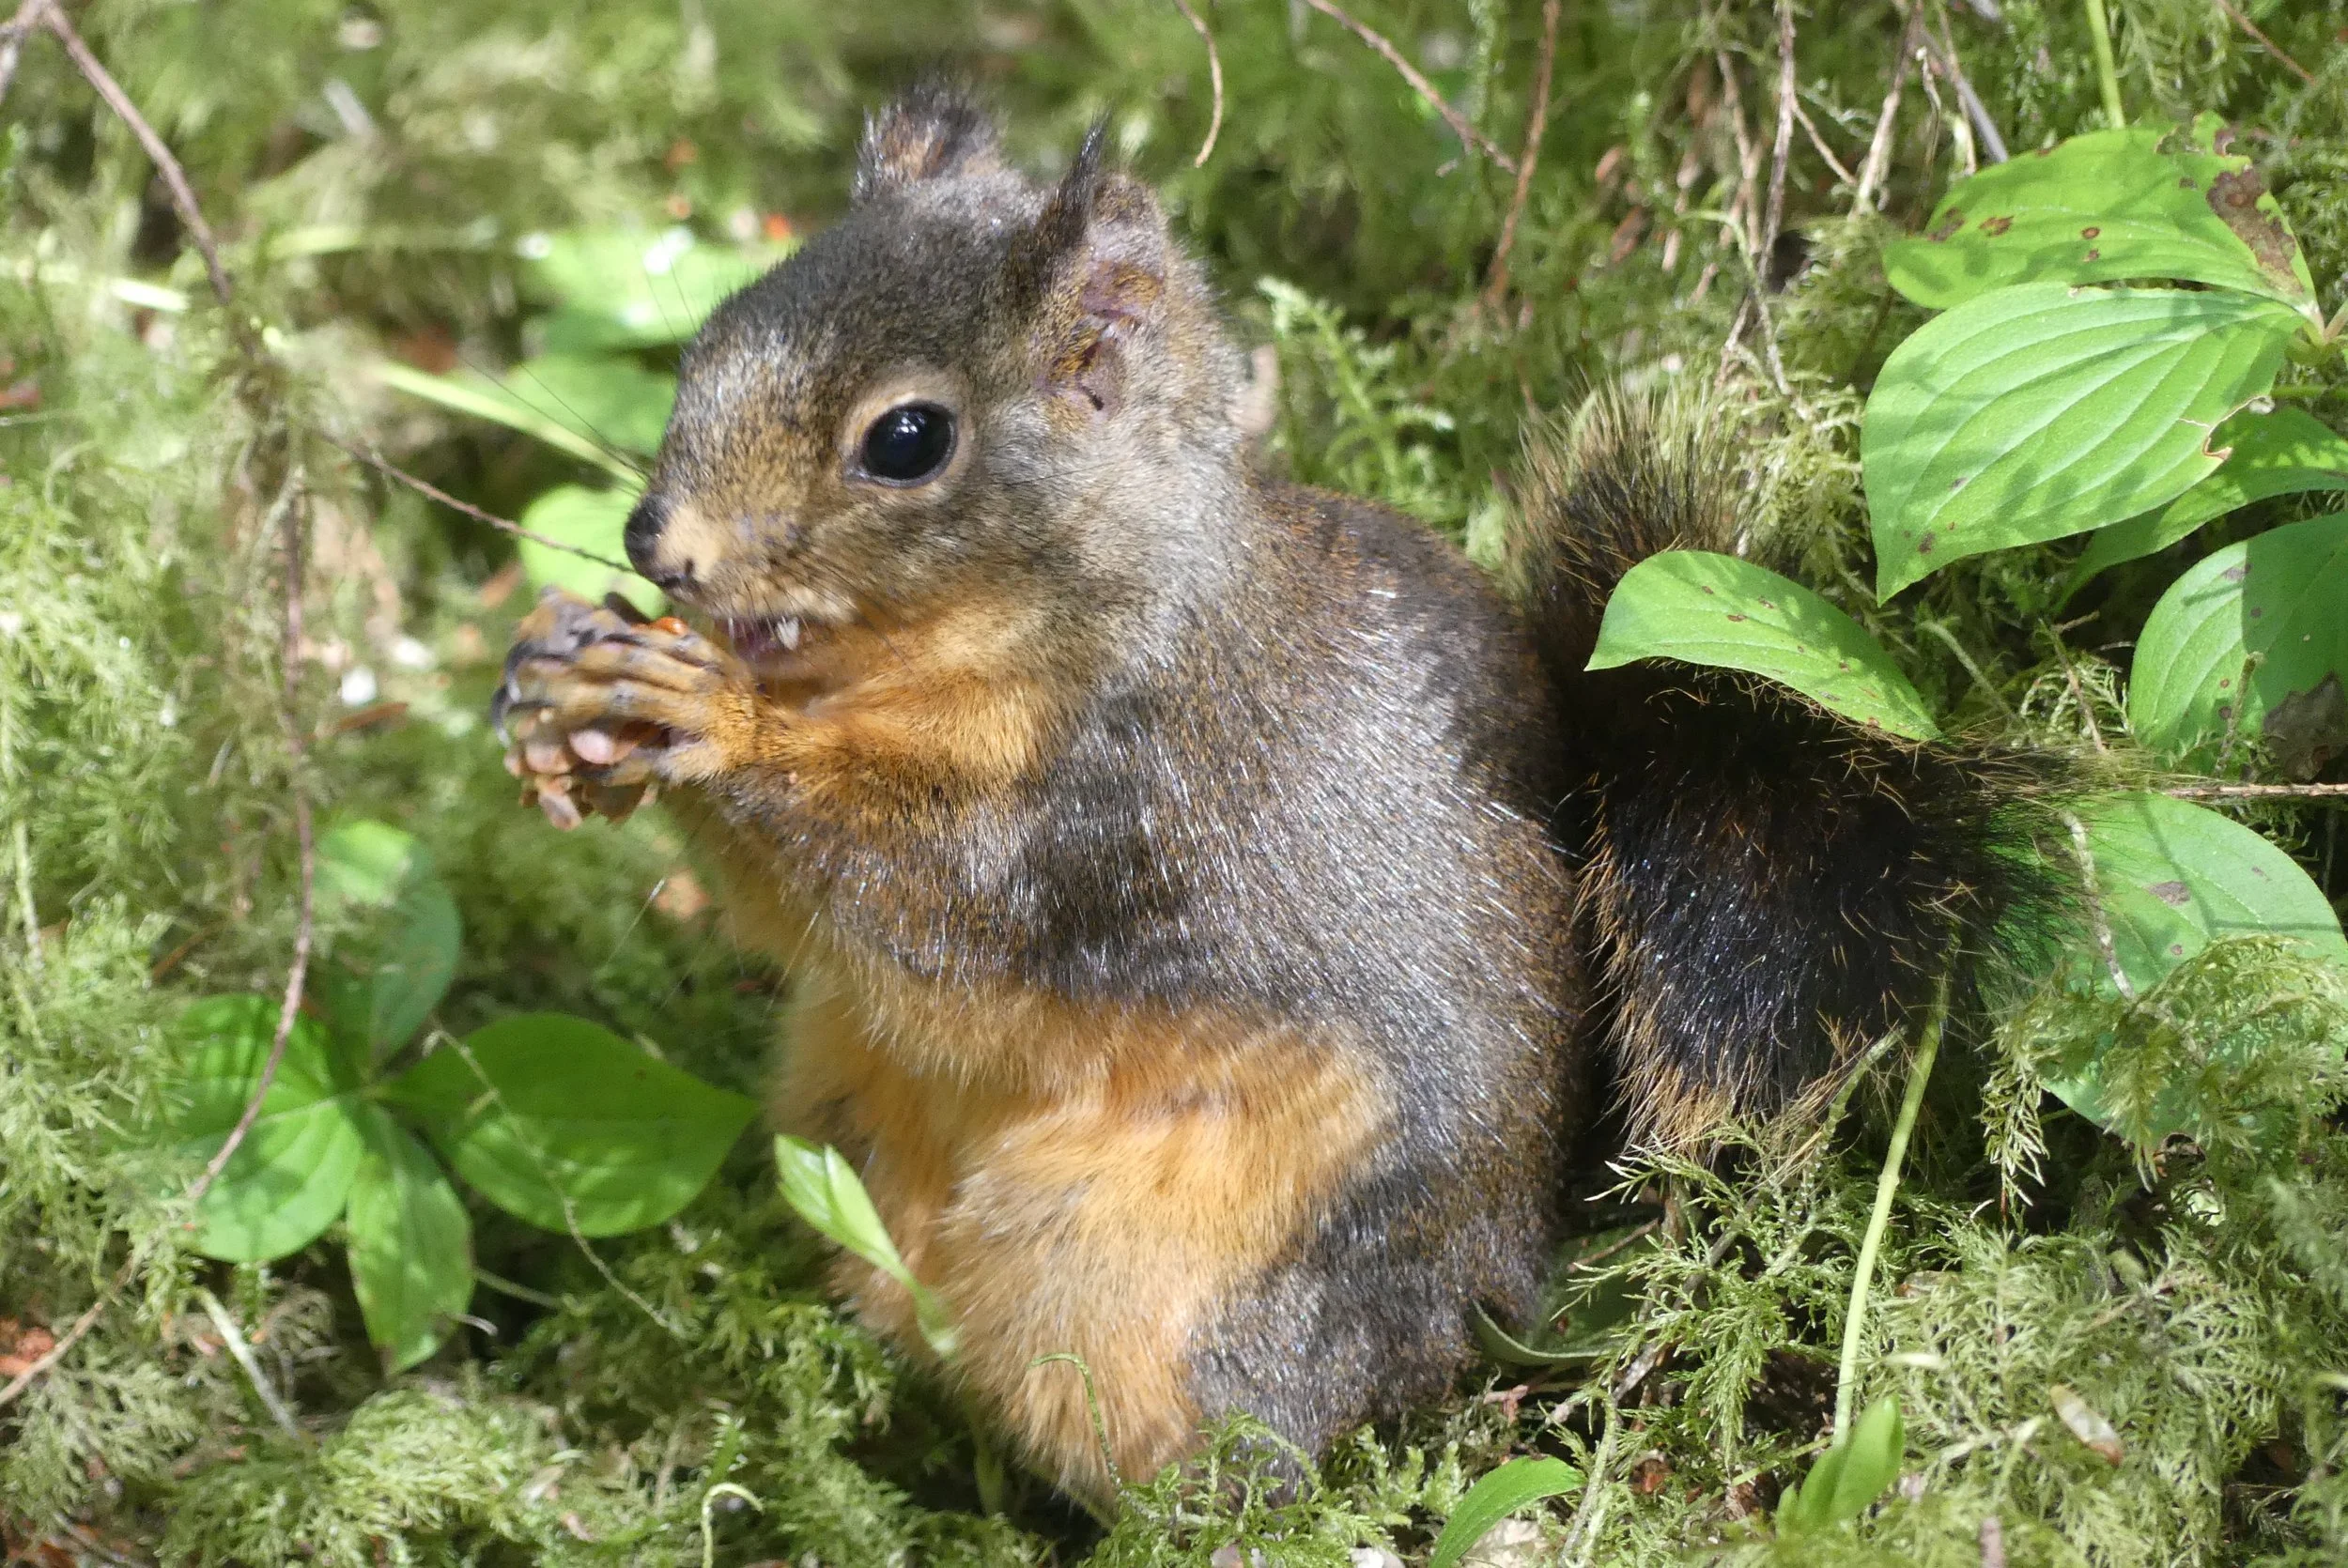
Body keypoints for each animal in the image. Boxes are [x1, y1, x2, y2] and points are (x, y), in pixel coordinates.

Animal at [491, 85, 2063, 1505]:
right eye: (712, 332)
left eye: (908, 439)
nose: (660, 544)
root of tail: (1501, 1288)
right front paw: (554, 679)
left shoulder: (1122, 807)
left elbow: (919, 894)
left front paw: (705, 717)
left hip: (1137, 1266)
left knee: (1238, 1449)